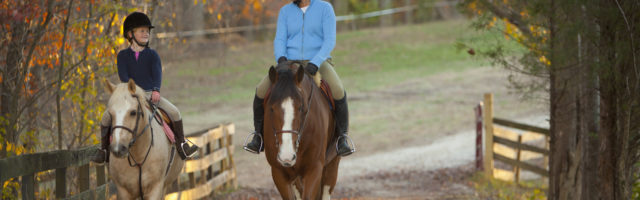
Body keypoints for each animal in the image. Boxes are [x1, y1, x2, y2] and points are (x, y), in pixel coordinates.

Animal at [262, 61, 342, 199]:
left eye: (300, 107)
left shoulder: (314, 168)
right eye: (271, 108)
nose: (286, 156)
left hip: (332, 164)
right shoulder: (278, 172)